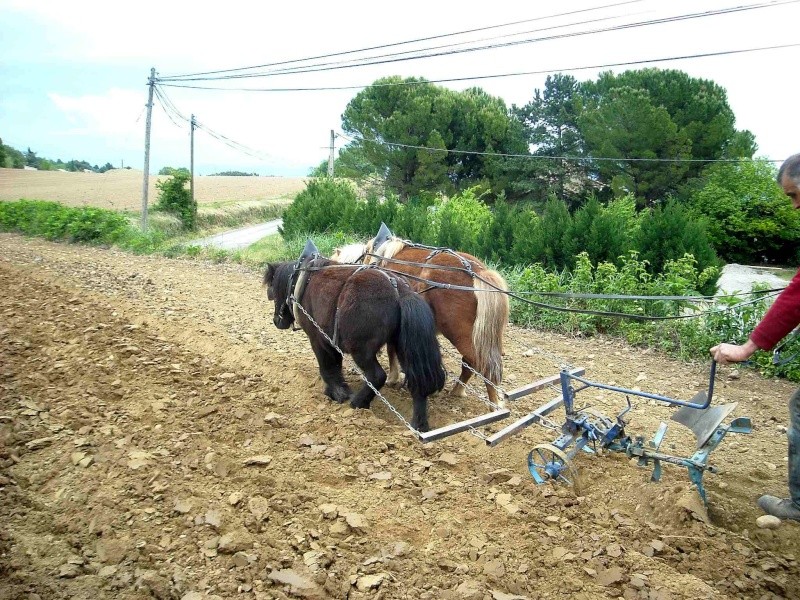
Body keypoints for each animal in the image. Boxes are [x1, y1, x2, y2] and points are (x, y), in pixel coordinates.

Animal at [266, 258, 446, 432]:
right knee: (417, 382)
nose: (276, 321)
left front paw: (338, 393)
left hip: (361, 350)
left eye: (273, 290)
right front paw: (337, 390)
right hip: (404, 348)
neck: (302, 281)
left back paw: (358, 403)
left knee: (377, 375)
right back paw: (419, 425)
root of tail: (399, 290)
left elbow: (327, 367)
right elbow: (335, 366)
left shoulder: (318, 339)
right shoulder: (332, 341)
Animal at [360, 227, 510, 406]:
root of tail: (479, 272)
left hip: (459, 333)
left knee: (483, 365)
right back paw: (458, 391)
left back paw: (495, 405)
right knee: (471, 362)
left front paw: (392, 378)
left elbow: (391, 349)